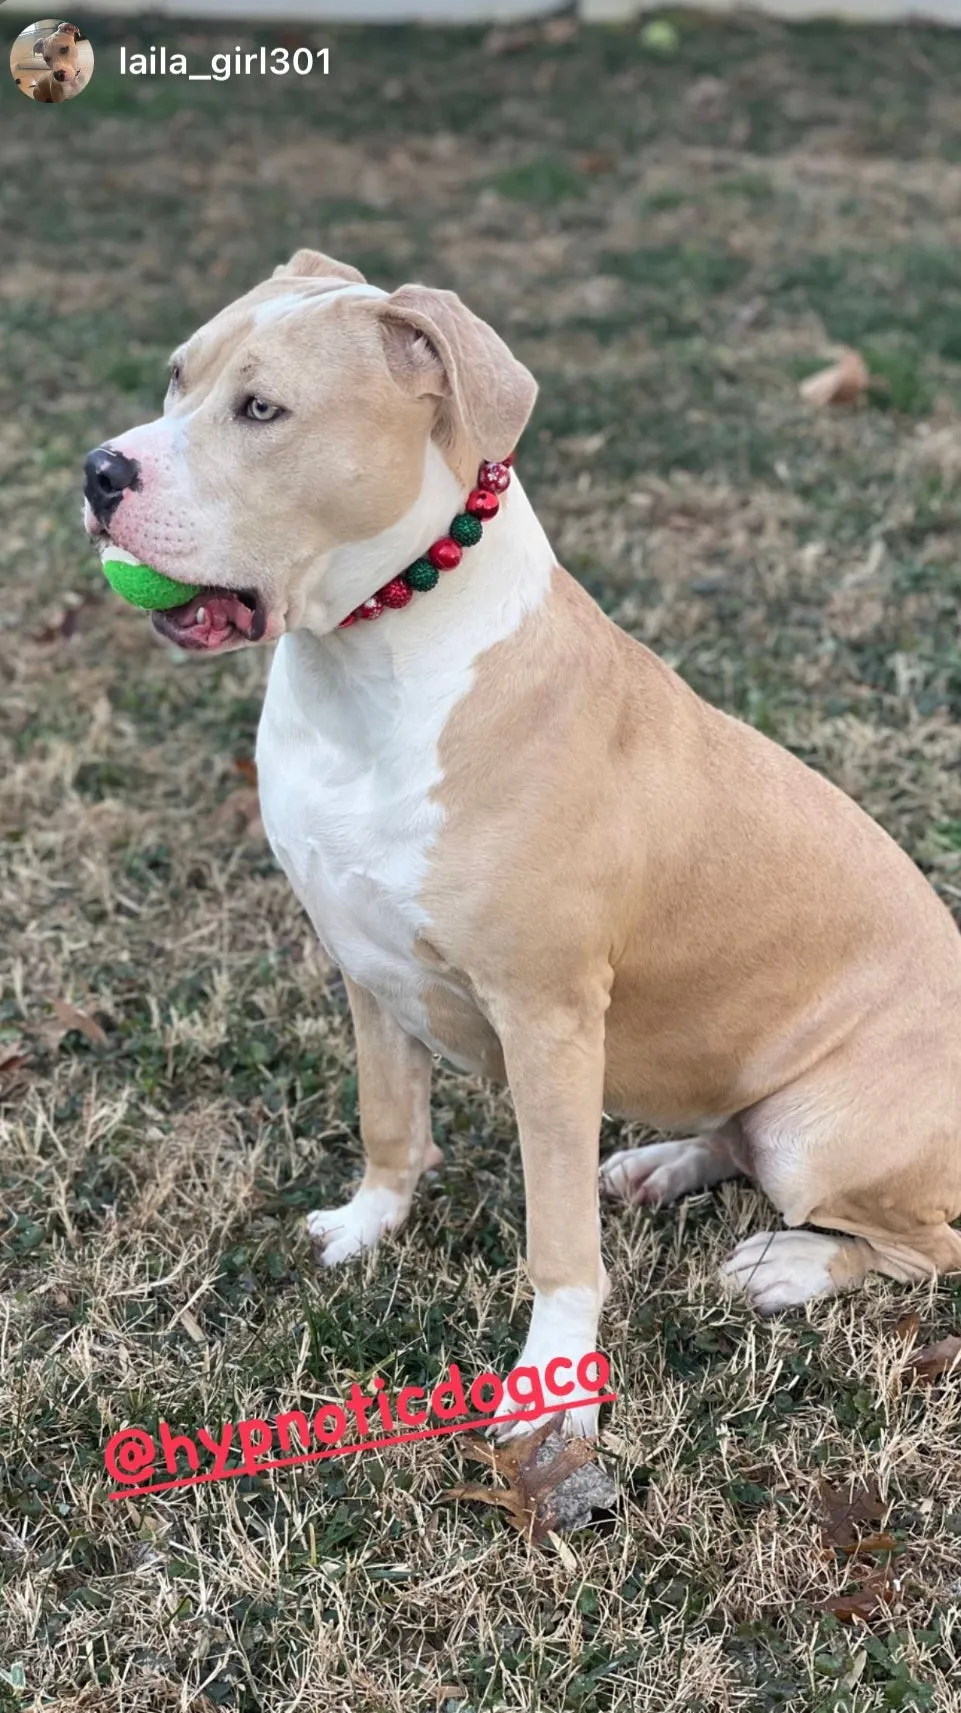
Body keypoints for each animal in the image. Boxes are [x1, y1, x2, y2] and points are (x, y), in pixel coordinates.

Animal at [84, 248, 959, 1438]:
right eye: (178, 377)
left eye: (261, 410)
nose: (99, 472)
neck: (369, 664)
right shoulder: (365, 966)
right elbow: (388, 1119)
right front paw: (366, 1226)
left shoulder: (548, 1022)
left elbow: (557, 1241)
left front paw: (556, 1387)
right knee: (731, 1133)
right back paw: (661, 1164)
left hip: (822, 1130)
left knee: (915, 1239)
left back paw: (787, 1265)